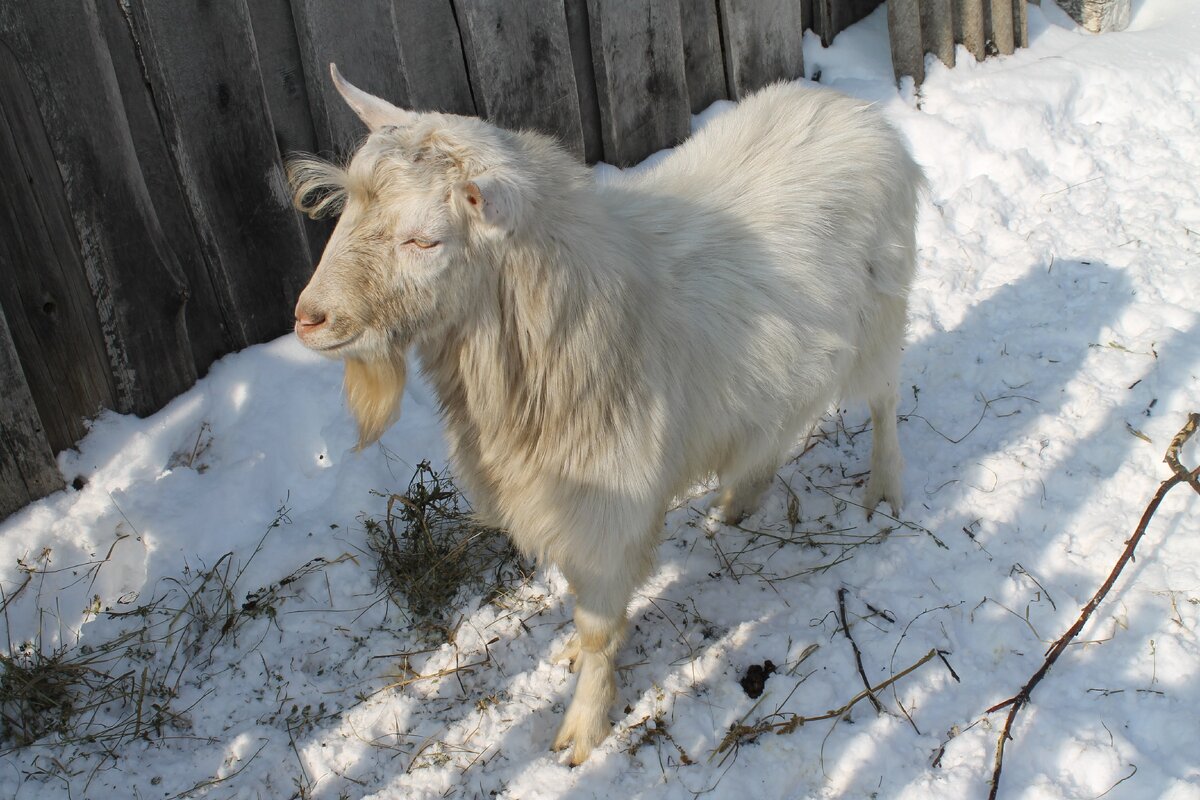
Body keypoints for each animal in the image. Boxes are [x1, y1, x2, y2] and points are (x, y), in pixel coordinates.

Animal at [292, 65, 926, 767]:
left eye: (424, 239)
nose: (308, 318)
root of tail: (853, 107)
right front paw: (576, 661)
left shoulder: (607, 506)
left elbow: (598, 625)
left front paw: (583, 729)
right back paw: (739, 501)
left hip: (880, 312)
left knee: (885, 399)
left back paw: (884, 490)